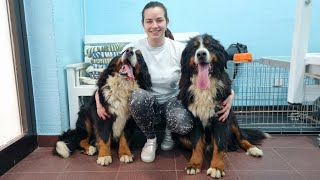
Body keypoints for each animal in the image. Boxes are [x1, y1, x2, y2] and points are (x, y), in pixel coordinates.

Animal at [176, 34, 268, 179]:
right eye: (194, 48)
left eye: (210, 46)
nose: (201, 54)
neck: (205, 88)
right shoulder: (194, 119)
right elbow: (197, 145)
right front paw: (194, 164)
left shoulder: (221, 117)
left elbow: (219, 144)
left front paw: (216, 167)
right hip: (181, 137)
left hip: (232, 118)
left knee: (241, 138)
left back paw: (253, 149)